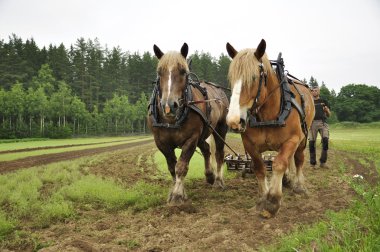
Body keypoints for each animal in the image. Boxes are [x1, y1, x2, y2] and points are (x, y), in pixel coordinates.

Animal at [148, 43, 229, 205]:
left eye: (183, 72)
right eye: (159, 72)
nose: (169, 106)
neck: (172, 120)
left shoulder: (191, 139)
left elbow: (181, 166)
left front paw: (177, 196)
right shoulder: (161, 143)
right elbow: (172, 167)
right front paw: (177, 192)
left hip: (220, 128)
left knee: (219, 153)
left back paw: (218, 181)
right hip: (203, 133)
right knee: (206, 149)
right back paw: (209, 175)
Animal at [226, 39, 314, 217]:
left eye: (253, 77)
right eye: (231, 78)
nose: (234, 121)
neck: (269, 115)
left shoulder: (292, 139)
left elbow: (279, 163)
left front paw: (272, 201)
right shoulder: (249, 144)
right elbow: (259, 168)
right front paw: (263, 198)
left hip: (303, 138)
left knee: (298, 159)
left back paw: (299, 186)